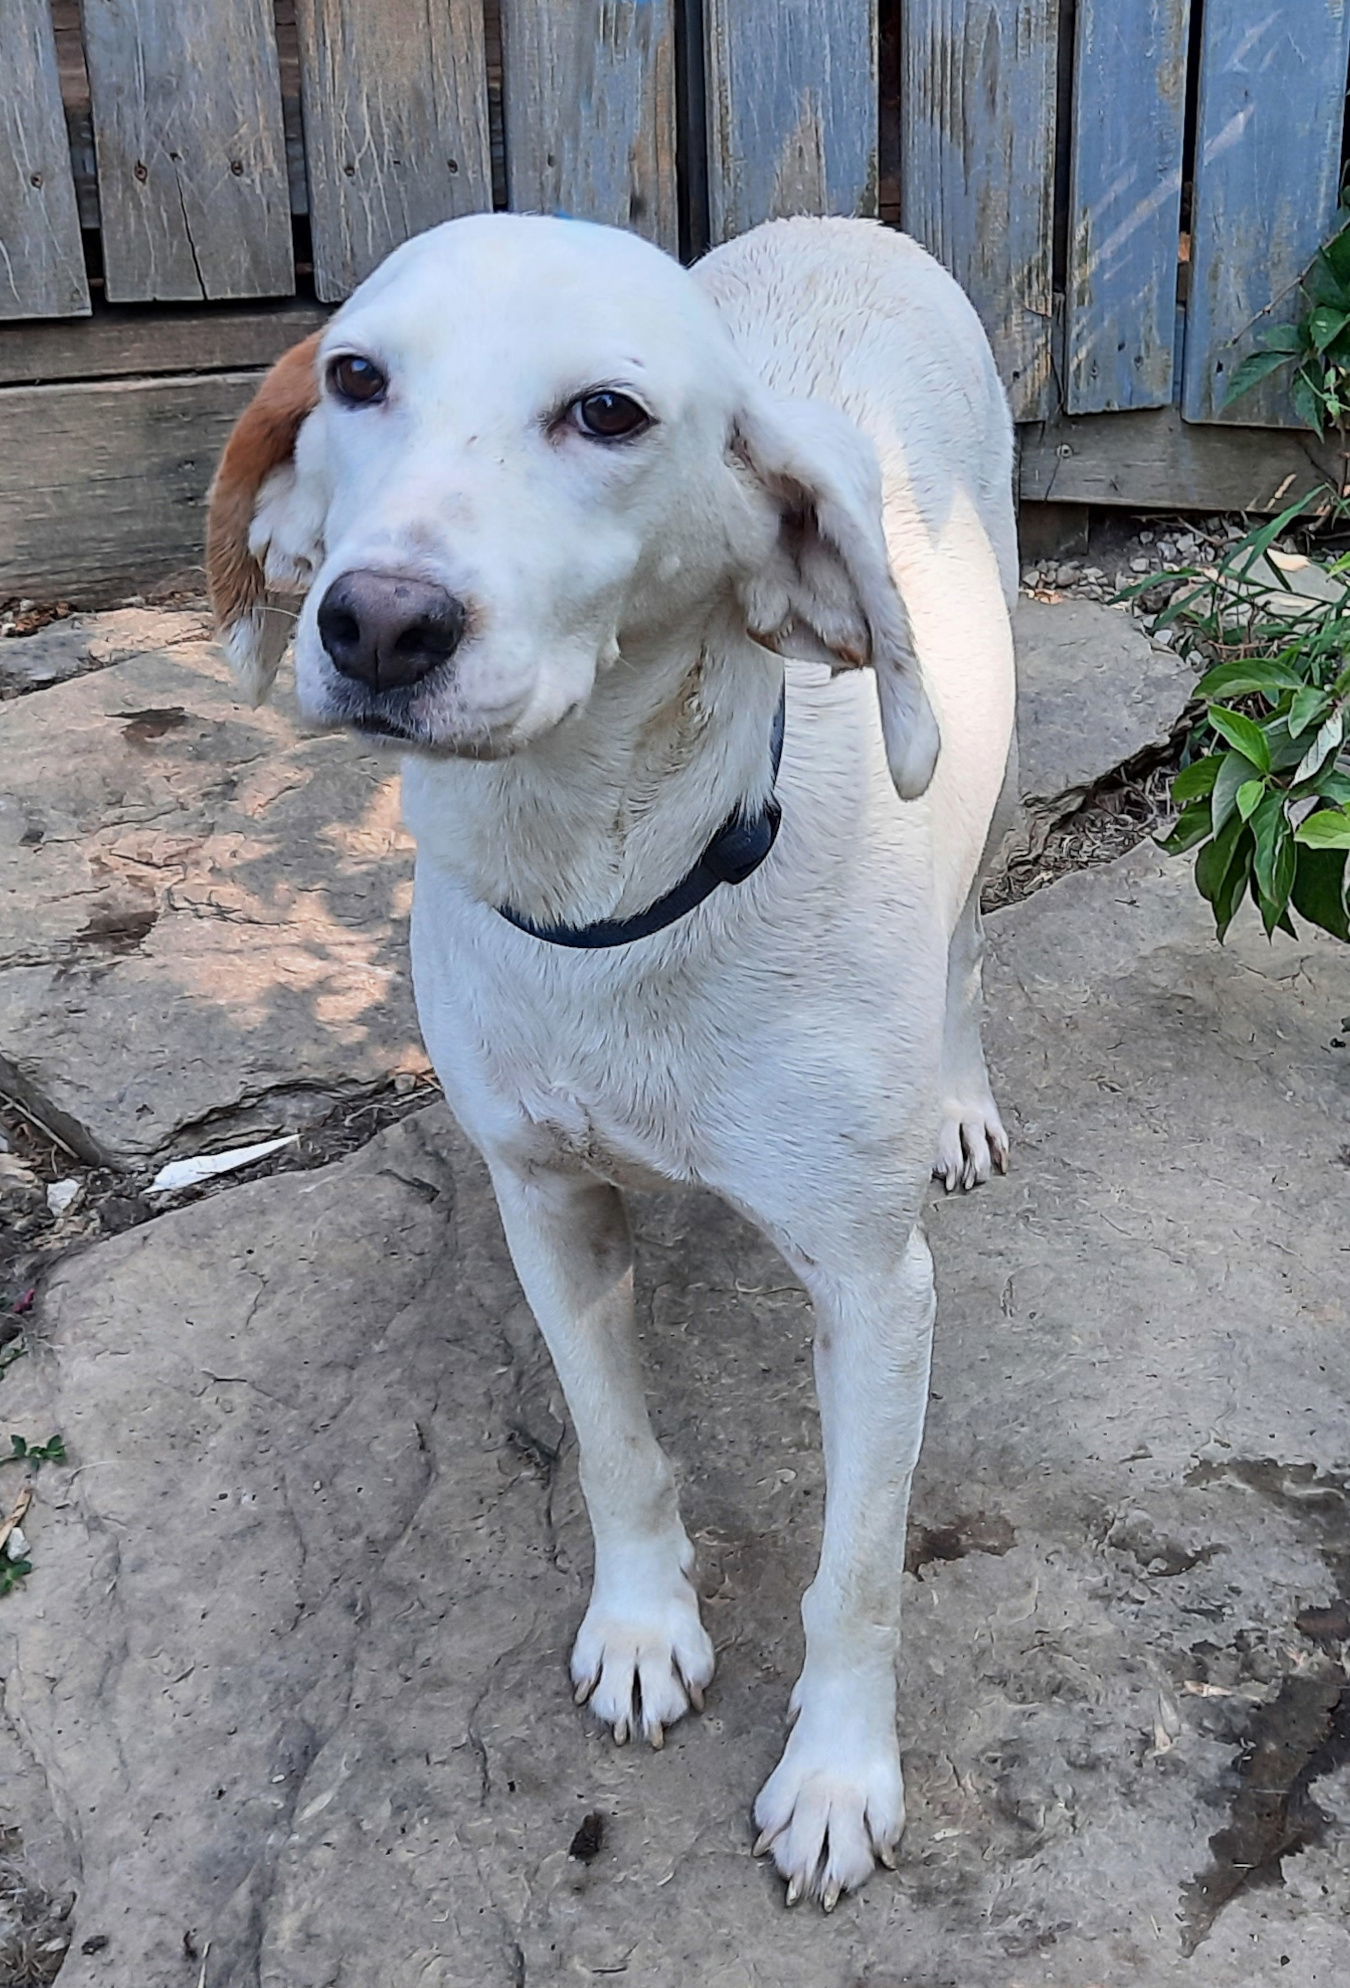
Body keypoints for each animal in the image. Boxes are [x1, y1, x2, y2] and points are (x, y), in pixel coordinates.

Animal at [208, 213, 1013, 1908]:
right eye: (356, 377)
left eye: (608, 414)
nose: (379, 622)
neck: (607, 886)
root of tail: (843, 220)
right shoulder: (546, 1208)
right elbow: (616, 1451)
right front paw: (643, 1629)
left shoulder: (875, 1290)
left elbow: (856, 1571)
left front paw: (836, 1775)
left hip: (991, 762)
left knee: (968, 940)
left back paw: (962, 1101)